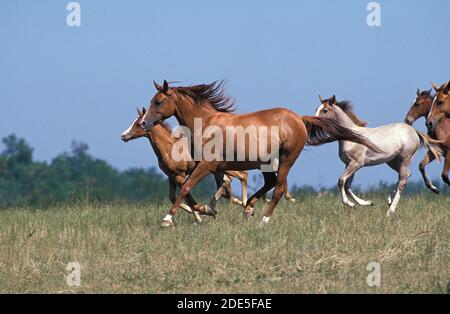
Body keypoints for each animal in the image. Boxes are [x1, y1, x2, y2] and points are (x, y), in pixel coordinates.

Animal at [140, 79, 380, 227]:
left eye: (158, 102)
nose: (143, 122)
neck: (206, 123)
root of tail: (298, 119)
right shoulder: (210, 167)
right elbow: (202, 191)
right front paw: (207, 209)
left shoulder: (207, 165)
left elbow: (186, 188)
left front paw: (167, 219)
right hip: (265, 163)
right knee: (270, 183)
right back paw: (249, 209)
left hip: (286, 160)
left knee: (278, 189)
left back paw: (263, 220)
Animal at [314, 95, 442, 217]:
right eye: (316, 109)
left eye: (325, 110)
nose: (314, 123)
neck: (351, 138)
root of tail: (414, 130)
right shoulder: (349, 164)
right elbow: (347, 186)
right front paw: (367, 203)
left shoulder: (356, 163)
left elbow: (341, 181)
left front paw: (349, 204)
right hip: (392, 161)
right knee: (406, 175)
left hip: (404, 159)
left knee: (403, 180)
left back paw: (390, 211)